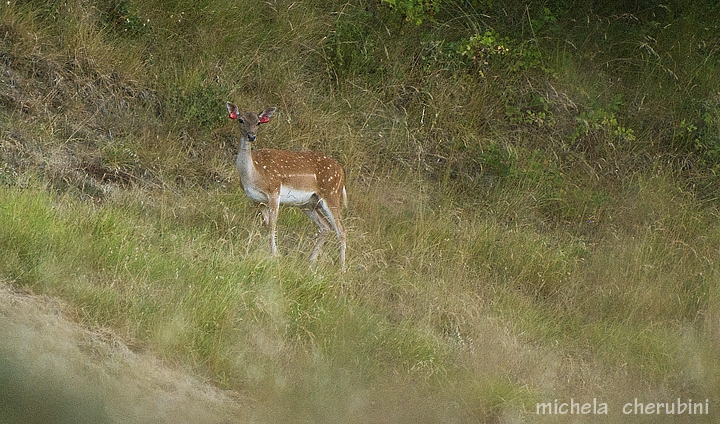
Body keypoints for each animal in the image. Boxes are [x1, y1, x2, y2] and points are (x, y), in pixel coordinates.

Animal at [226, 101, 348, 270]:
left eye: (258, 122)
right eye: (241, 120)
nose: (251, 136)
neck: (253, 175)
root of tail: (342, 173)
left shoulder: (274, 191)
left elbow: (272, 225)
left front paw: (274, 255)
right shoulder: (255, 200)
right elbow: (267, 225)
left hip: (331, 193)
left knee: (341, 230)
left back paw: (342, 268)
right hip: (308, 204)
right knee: (326, 227)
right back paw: (310, 261)